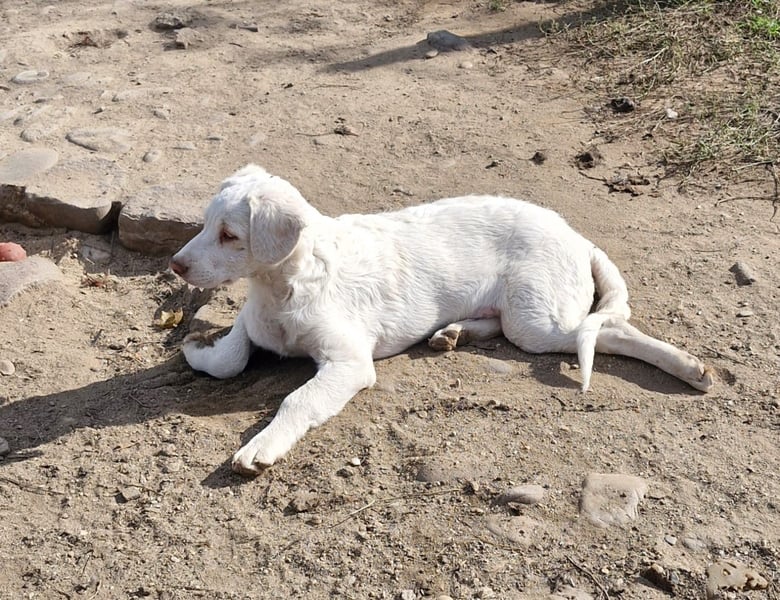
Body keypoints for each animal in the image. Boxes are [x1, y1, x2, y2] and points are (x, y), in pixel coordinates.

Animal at [170, 164, 714, 475]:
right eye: (204, 224)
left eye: (229, 235)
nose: (175, 265)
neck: (282, 285)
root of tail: (578, 237)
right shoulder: (252, 323)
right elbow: (229, 359)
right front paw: (198, 348)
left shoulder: (349, 362)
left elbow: (297, 399)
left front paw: (263, 445)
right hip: (517, 315)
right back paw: (451, 333)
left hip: (537, 320)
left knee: (607, 330)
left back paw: (688, 367)